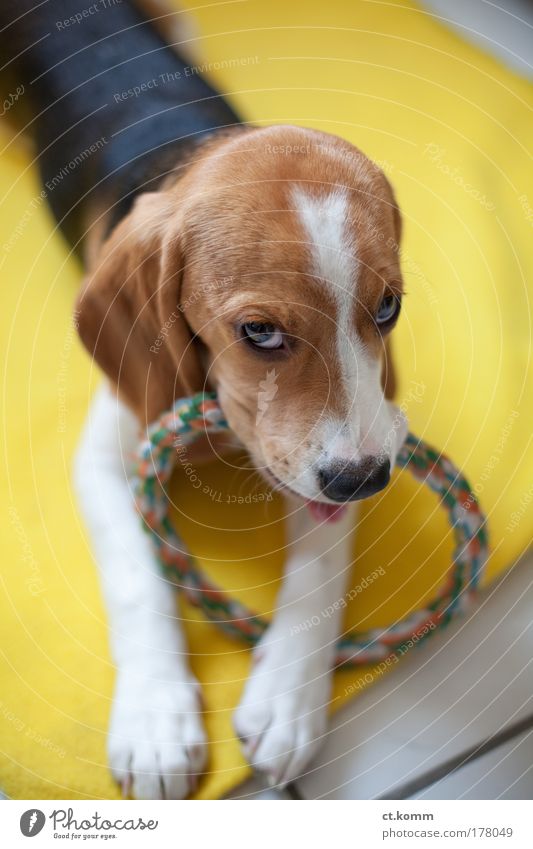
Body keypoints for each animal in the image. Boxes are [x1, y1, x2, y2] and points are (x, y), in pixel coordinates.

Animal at [1, 0, 408, 796]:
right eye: (258, 331)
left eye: (387, 308)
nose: (365, 480)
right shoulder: (104, 456)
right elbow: (138, 581)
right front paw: (155, 721)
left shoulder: (339, 454)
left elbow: (322, 564)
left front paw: (287, 696)